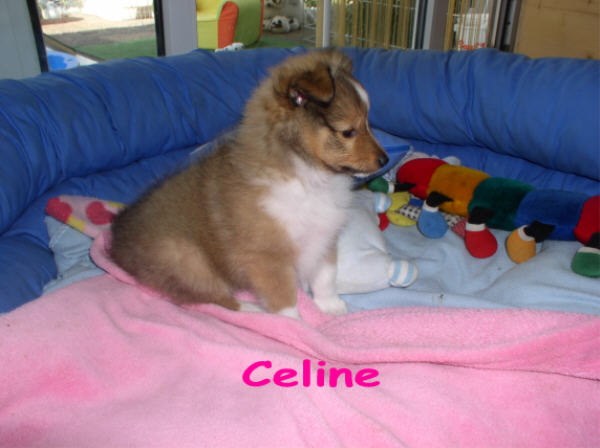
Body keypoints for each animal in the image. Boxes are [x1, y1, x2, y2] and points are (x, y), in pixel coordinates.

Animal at [110, 49, 388, 318]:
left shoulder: (324, 236)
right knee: (213, 299)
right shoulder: (266, 255)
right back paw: (253, 311)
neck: (307, 176)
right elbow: (285, 300)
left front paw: (331, 307)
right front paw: (293, 325)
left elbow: (325, 277)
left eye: (367, 122)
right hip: (188, 259)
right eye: (348, 132)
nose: (384, 160)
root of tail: (117, 241)